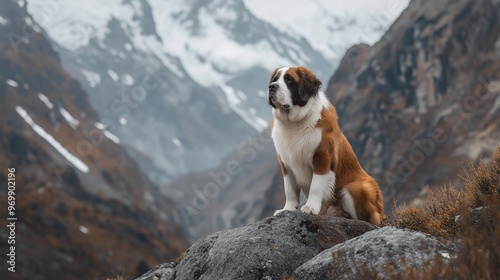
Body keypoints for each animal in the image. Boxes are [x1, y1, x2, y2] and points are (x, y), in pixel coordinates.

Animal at [270, 65, 382, 225]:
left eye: (289, 79)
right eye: (274, 79)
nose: (271, 87)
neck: (294, 123)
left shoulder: (322, 157)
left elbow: (316, 186)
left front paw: (310, 207)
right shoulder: (286, 163)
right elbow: (290, 189)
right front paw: (288, 209)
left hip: (358, 187)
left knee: (368, 218)